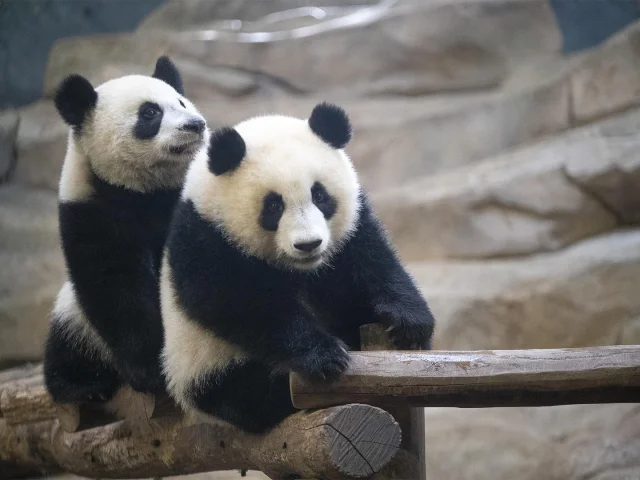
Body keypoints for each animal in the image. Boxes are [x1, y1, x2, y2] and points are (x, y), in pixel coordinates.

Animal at [43, 55, 209, 404]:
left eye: (181, 101)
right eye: (150, 113)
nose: (195, 125)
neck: (145, 189)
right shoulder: (92, 211)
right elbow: (117, 287)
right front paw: (150, 371)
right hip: (77, 321)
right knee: (66, 345)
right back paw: (82, 386)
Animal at [160, 103, 436, 434]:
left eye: (320, 195)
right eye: (273, 206)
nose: (309, 244)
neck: (301, 269)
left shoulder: (351, 230)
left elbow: (375, 262)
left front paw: (409, 323)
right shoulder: (206, 238)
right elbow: (240, 302)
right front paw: (324, 357)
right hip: (206, 367)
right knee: (248, 393)